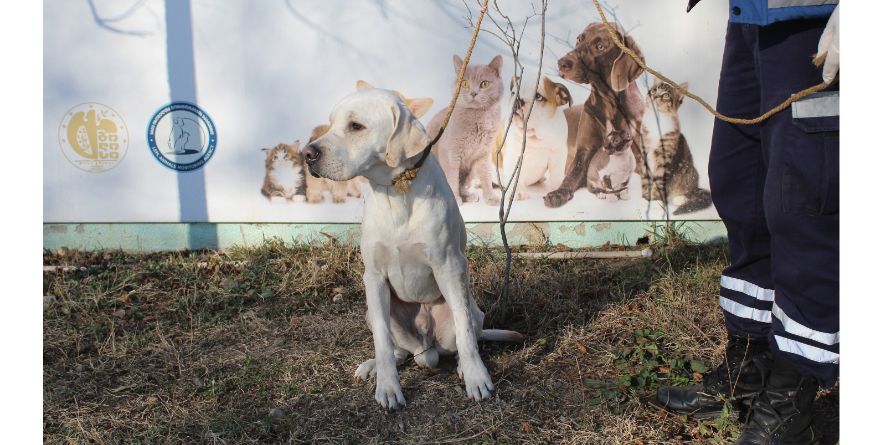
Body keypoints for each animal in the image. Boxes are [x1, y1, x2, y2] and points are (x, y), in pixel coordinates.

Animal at [306, 87, 524, 410]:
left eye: (356, 126)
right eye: (331, 124)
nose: (307, 154)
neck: (396, 191)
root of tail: (425, 347)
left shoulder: (450, 267)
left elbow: (465, 337)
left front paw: (476, 378)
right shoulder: (374, 277)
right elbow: (382, 342)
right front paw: (388, 386)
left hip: (473, 312)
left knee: (464, 339)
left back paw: (463, 367)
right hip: (373, 311)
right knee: (397, 349)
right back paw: (373, 366)